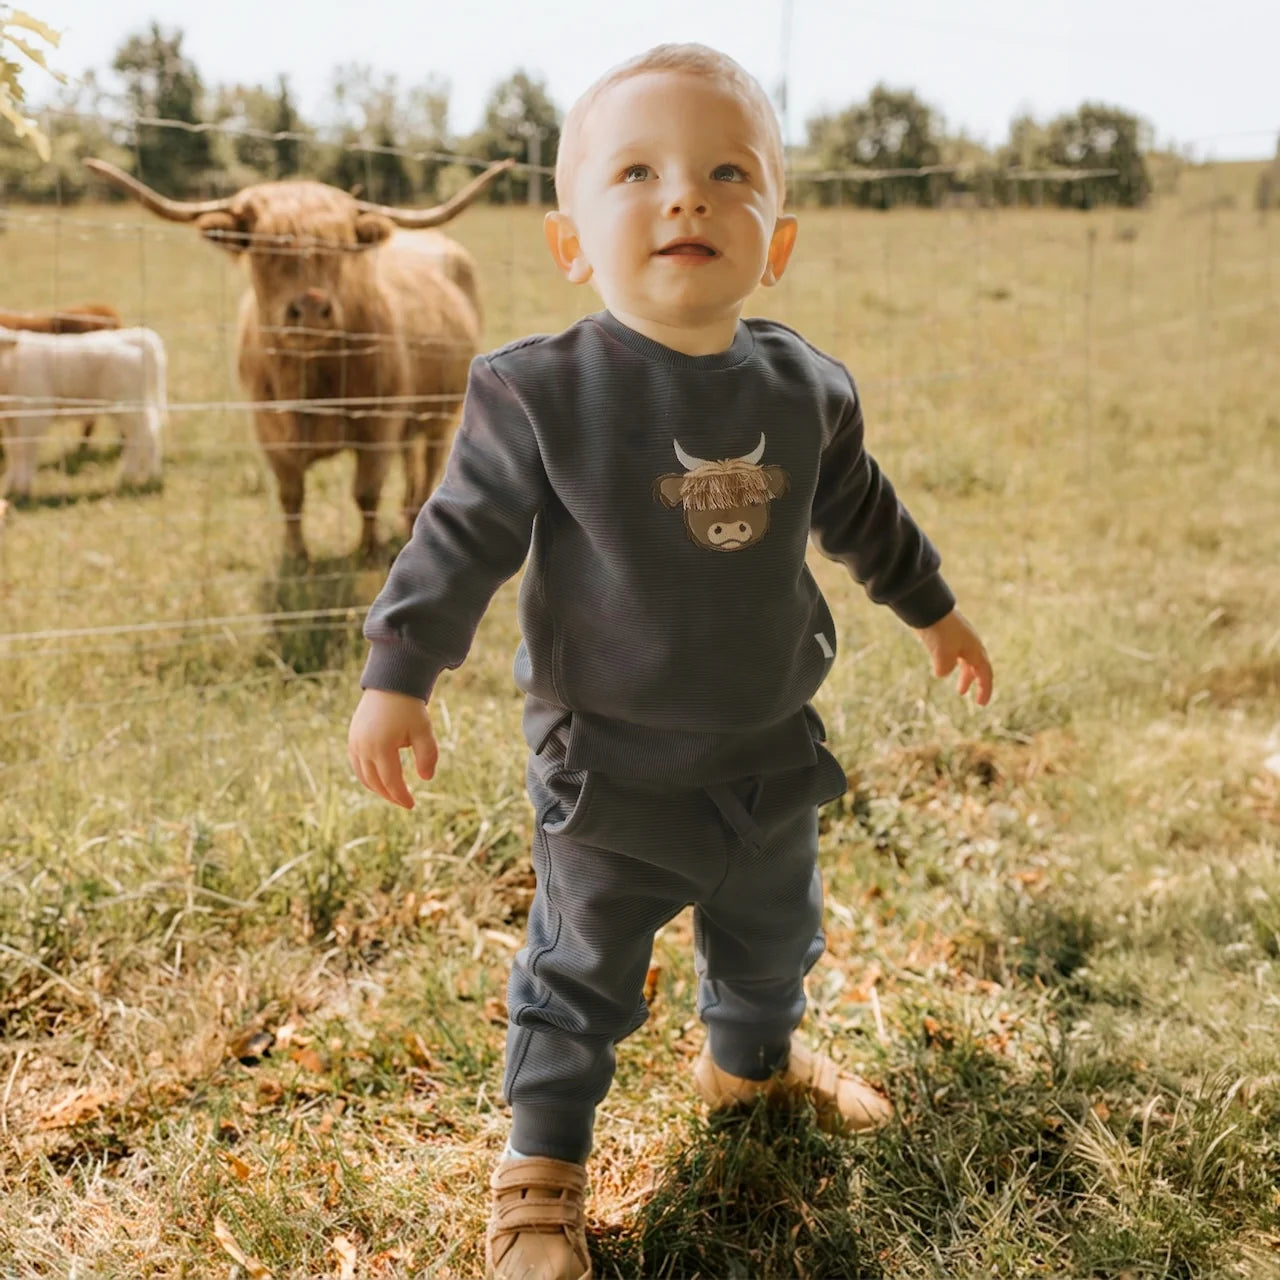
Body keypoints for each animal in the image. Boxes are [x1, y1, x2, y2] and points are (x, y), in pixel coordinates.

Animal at [0, 327, 167, 499]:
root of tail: (132, 336)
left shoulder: (32, 415)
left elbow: (25, 449)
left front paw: (22, 488)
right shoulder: (11, 418)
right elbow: (13, 449)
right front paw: (10, 485)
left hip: (126, 404)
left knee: (143, 434)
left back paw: (137, 476)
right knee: (145, 433)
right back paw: (143, 475)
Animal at [84, 157, 513, 560]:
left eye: (339, 247)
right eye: (265, 247)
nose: (309, 307)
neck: (311, 384)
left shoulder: (378, 425)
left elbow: (366, 492)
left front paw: (369, 549)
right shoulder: (269, 430)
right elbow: (291, 495)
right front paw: (296, 554)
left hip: (443, 409)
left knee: (431, 460)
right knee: (410, 456)